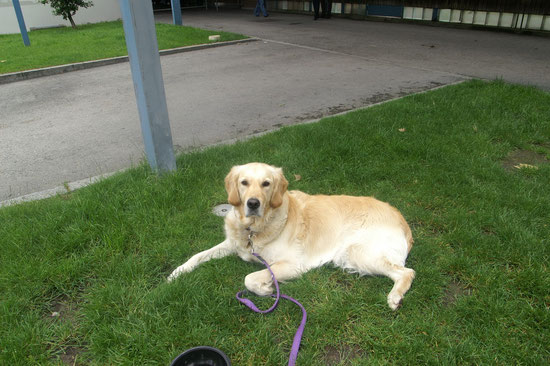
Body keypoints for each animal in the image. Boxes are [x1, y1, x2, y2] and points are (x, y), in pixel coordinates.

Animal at [170, 163, 416, 308]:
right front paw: (177, 273)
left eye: (266, 184)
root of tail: (402, 219)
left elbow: (250, 277)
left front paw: (266, 288)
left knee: (407, 272)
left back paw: (395, 297)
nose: (253, 203)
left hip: (356, 252)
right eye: (244, 182)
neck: (254, 229)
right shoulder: (232, 243)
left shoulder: (293, 264)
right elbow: (198, 255)